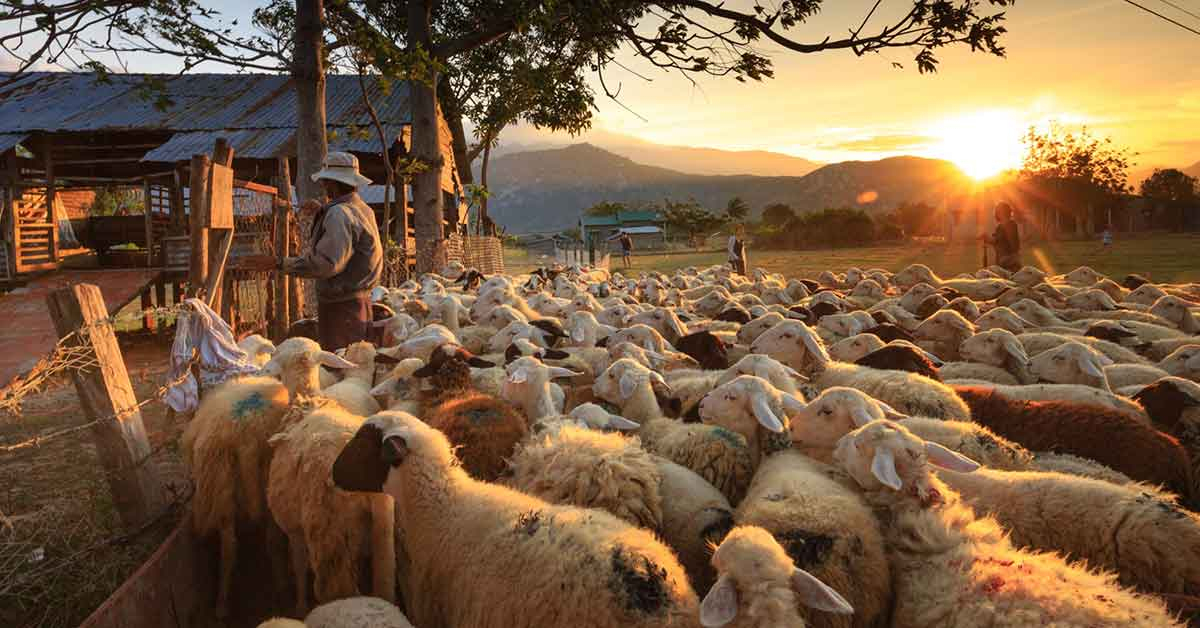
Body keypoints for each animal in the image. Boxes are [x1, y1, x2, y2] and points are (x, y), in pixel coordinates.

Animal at [266, 405, 393, 614]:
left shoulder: (294, 528)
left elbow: (299, 564)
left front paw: (300, 607)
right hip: (372, 531)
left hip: (330, 535)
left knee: (336, 589)